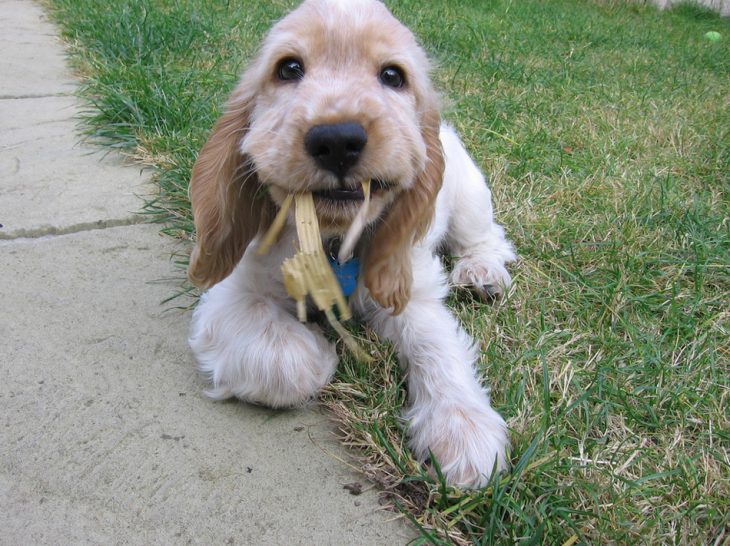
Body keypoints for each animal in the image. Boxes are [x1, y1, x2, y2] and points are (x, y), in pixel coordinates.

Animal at [188, 0, 516, 484]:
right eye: (288, 68)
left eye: (393, 75)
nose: (337, 139)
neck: (332, 239)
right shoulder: (231, 295)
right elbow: (283, 361)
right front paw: (320, 354)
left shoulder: (411, 291)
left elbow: (436, 347)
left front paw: (463, 430)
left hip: (470, 199)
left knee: (489, 238)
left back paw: (482, 273)